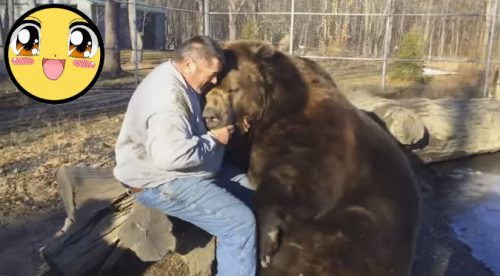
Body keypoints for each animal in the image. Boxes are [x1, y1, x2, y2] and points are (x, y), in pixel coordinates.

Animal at [201, 41, 420, 276]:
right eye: (206, 90)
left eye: (233, 88)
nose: (210, 116)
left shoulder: (316, 138)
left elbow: (300, 182)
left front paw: (266, 242)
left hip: (366, 224)